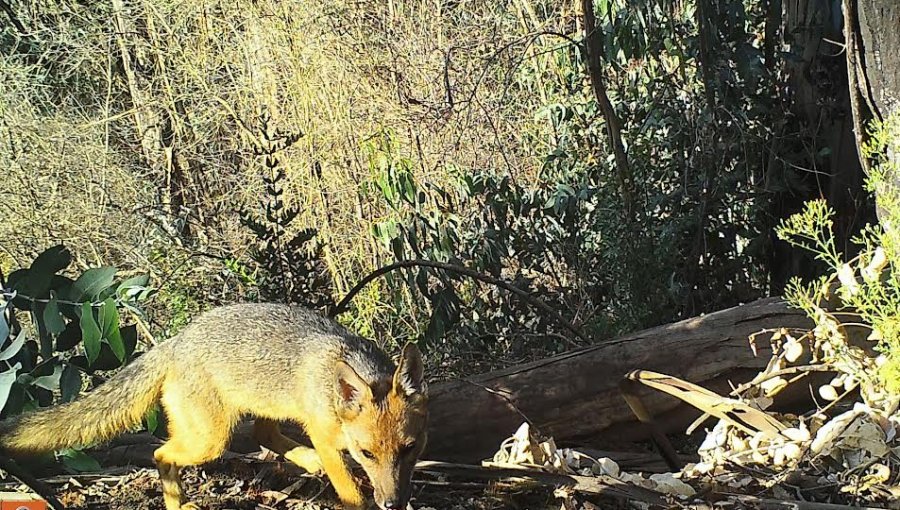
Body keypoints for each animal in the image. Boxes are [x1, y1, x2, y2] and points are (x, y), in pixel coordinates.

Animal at [0, 302, 428, 510]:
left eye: (409, 449)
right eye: (367, 454)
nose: (393, 504)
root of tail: (173, 342)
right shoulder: (325, 435)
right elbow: (351, 492)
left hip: (255, 411)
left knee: (264, 434)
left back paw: (305, 460)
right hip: (210, 441)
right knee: (161, 453)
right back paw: (178, 504)